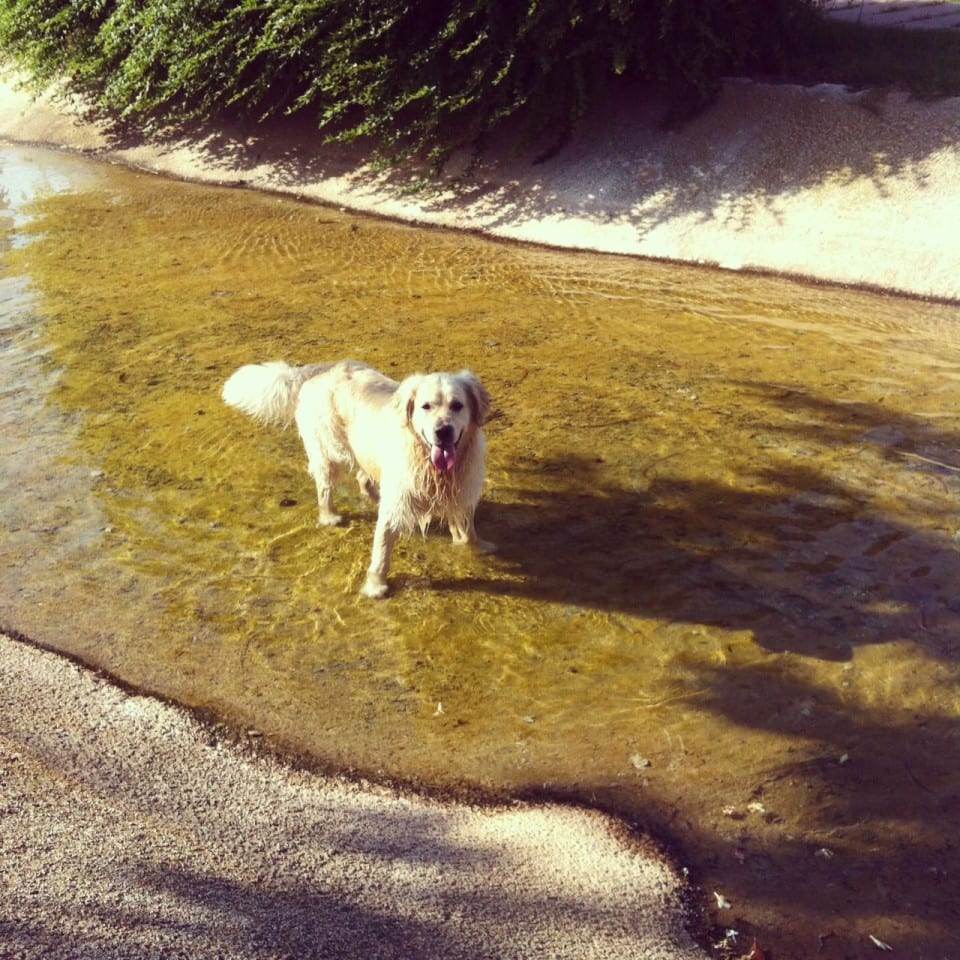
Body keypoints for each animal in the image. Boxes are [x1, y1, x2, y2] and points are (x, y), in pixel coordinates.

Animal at [224, 360, 492, 596]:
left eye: (457, 405)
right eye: (425, 406)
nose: (443, 431)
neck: (433, 467)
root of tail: (320, 369)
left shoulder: (461, 496)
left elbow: (467, 530)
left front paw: (477, 547)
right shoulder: (397, 503)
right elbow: (382, 549)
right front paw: (375, 586)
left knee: (363, 478)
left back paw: (371, 495)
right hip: (329, 453)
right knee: (325, 489)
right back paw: (329, 517)